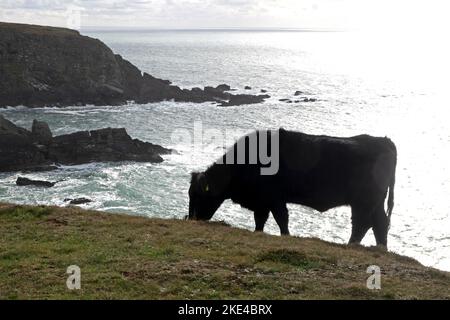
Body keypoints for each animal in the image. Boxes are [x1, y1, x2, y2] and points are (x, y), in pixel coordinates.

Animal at [188, 129, 396, 246]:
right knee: (380, 224)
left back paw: (351, 245)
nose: (191, 219)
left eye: (198, 196)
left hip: (363, 202)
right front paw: (258, 233)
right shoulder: (262, 202)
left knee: (362, 224)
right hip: (375, 202)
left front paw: (286, 236)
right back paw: (381, 248)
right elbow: (260, 221)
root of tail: (383, 140)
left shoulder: (274, 199)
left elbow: (282, 220)